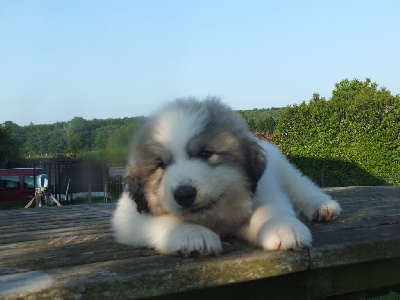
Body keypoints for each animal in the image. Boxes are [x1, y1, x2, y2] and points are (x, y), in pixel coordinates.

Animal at [112, 97, 340, 256]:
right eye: (161, 165)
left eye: (205, 153)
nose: (184, 194)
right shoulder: (128, 215)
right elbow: (165, 220)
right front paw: (193, 234)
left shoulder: (264, 187)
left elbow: (270, 209)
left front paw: (282, 227)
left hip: (283, 168)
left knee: (300, 185)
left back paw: (321, 206)